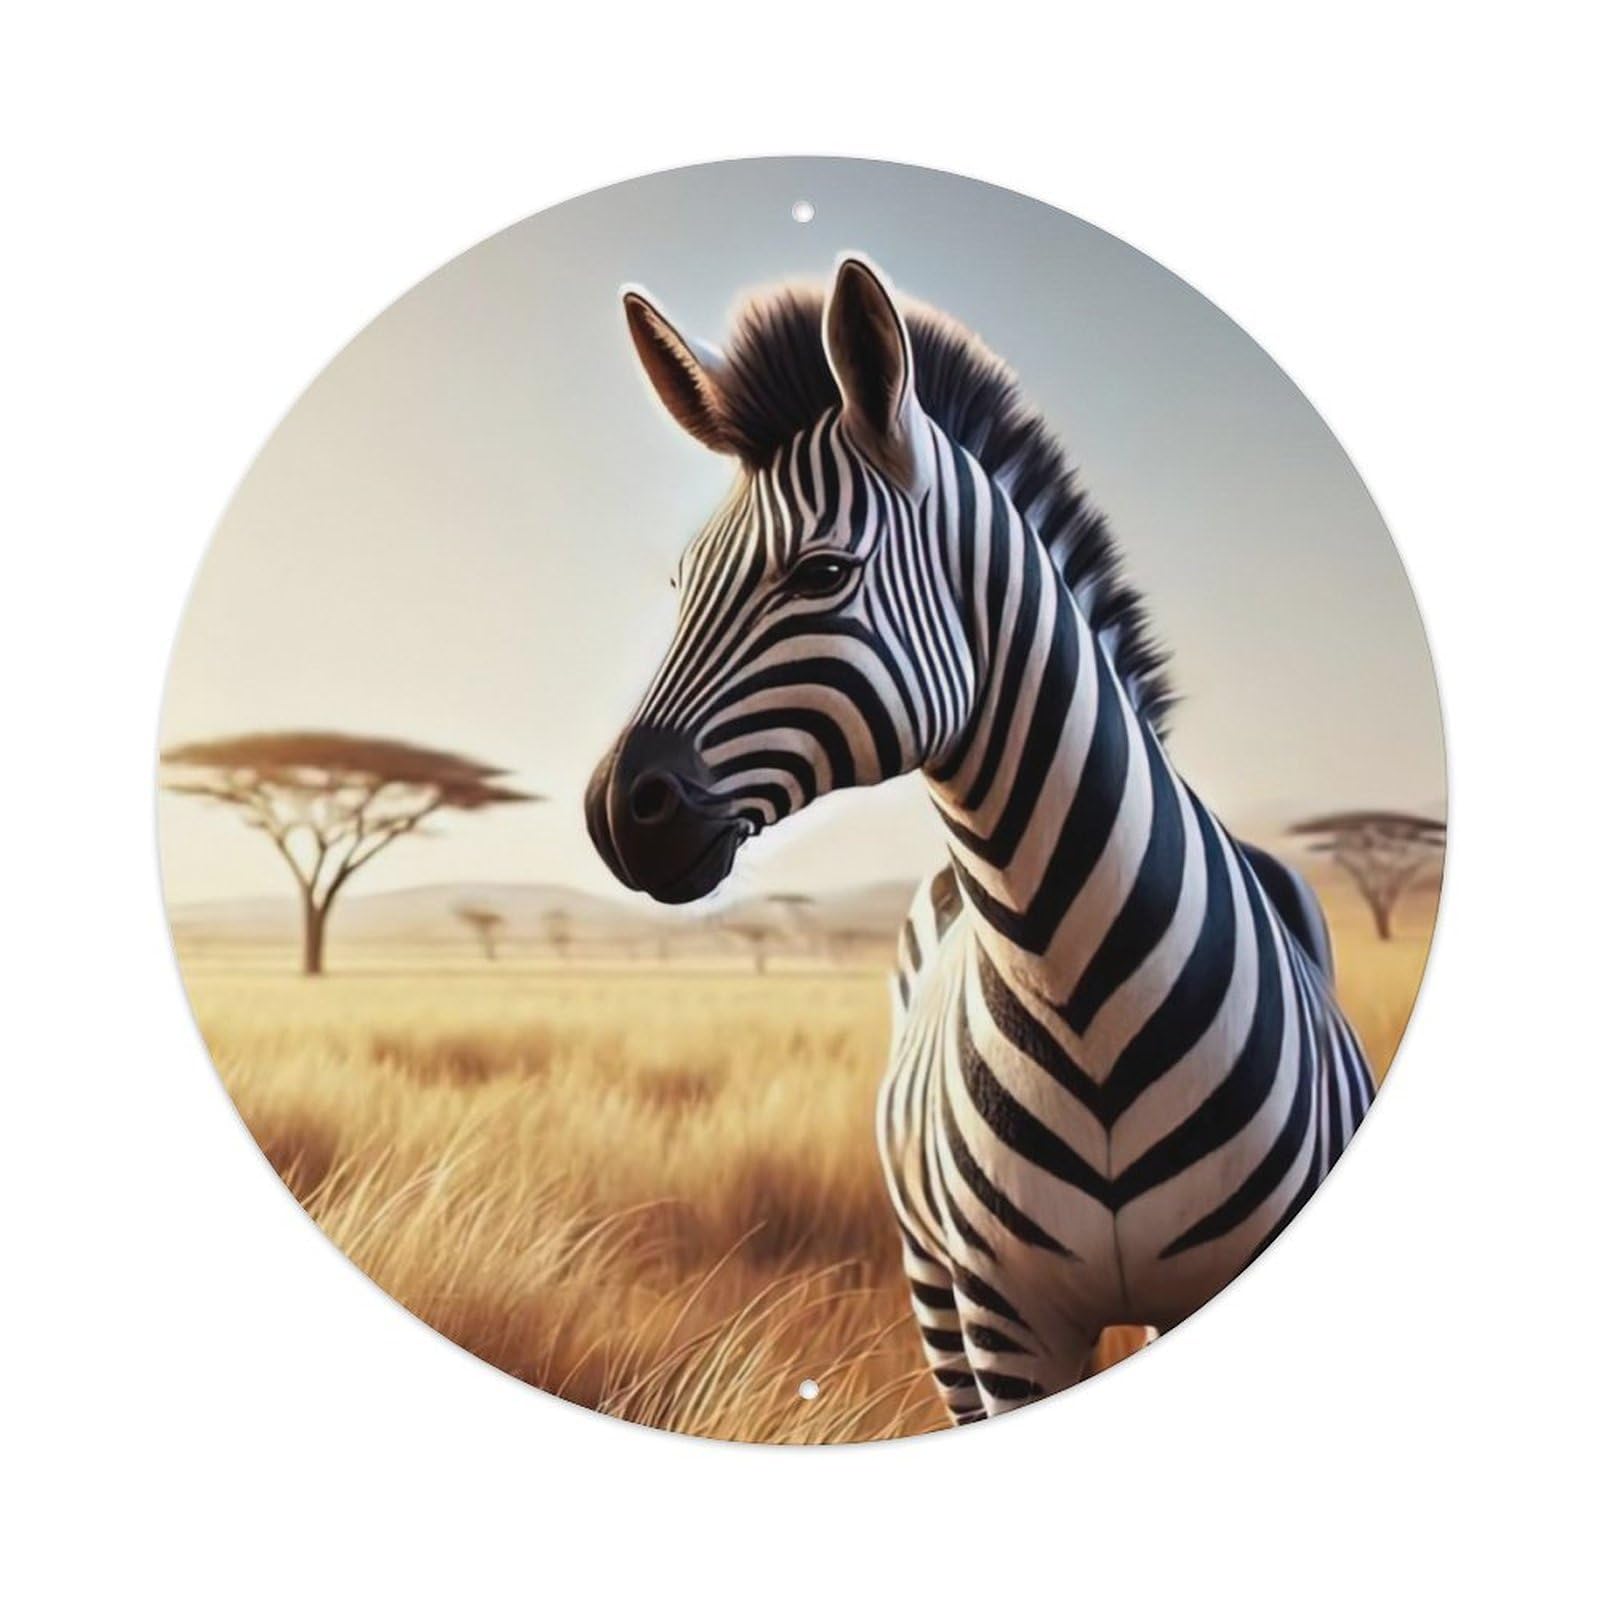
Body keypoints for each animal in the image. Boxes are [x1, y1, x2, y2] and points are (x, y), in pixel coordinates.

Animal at [585, 255, 1376, 1422]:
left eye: (821, 574)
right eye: (682, 586)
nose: (614, 813)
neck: (1076, 981)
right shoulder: (1005, 1321)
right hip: (932, 1286)